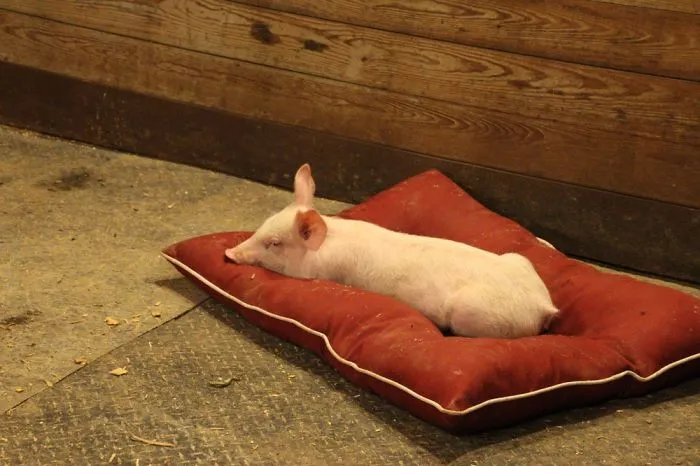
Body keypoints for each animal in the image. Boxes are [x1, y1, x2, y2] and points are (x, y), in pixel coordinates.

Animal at [225, 163, 559, 339]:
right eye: (264, 224)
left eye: (275, 243)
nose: (228, 253)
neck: (328, 242)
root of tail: (545, 306)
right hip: (518, 259)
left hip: (473, 313)